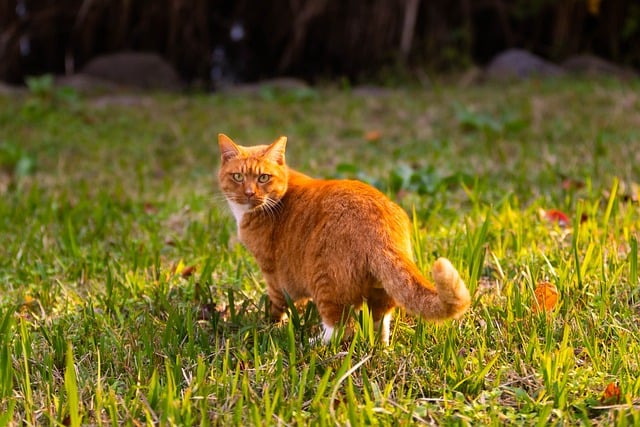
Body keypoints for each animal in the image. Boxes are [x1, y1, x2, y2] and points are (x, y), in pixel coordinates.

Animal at [218, 134, 472, 344]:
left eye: (263, 178)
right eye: (238, 176)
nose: (249, 193)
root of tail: (381, 227)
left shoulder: (274, 275)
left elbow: (277, 305)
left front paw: (271, 326)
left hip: (325, 282)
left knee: (341, 327)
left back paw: (311, 343)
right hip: (382, 289)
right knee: (380, 320)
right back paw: (380, 346)